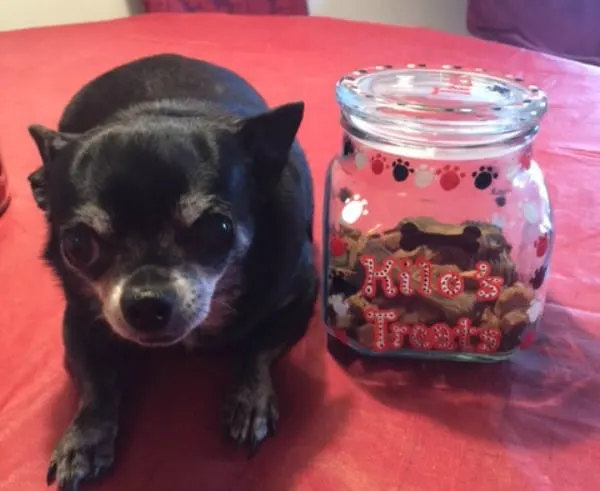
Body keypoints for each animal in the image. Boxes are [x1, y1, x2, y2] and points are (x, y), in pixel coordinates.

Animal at [27, 52, 316, 490]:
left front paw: (249, 396)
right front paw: (86, 438)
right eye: (77, 245)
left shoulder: (301, 294)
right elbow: (96, 384)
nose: (146, 304)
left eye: (217, 229)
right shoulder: (80, 321)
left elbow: (259, 347)